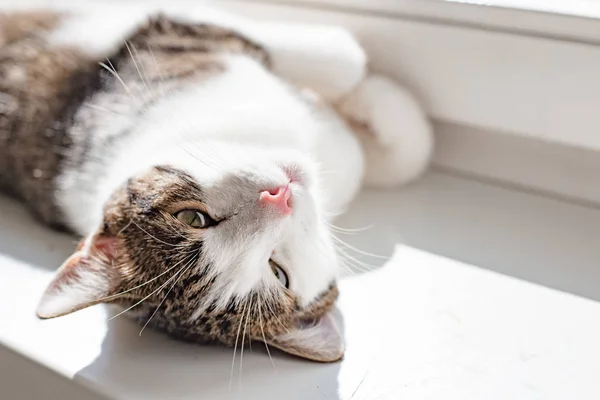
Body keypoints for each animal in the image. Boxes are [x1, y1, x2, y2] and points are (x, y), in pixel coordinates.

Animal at [0, 2, 432, 362]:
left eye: (193, 218)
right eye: (277, 270)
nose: (279, 196)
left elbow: (398, 152)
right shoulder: (176, 35)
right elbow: (344, 59)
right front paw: (373, 93)